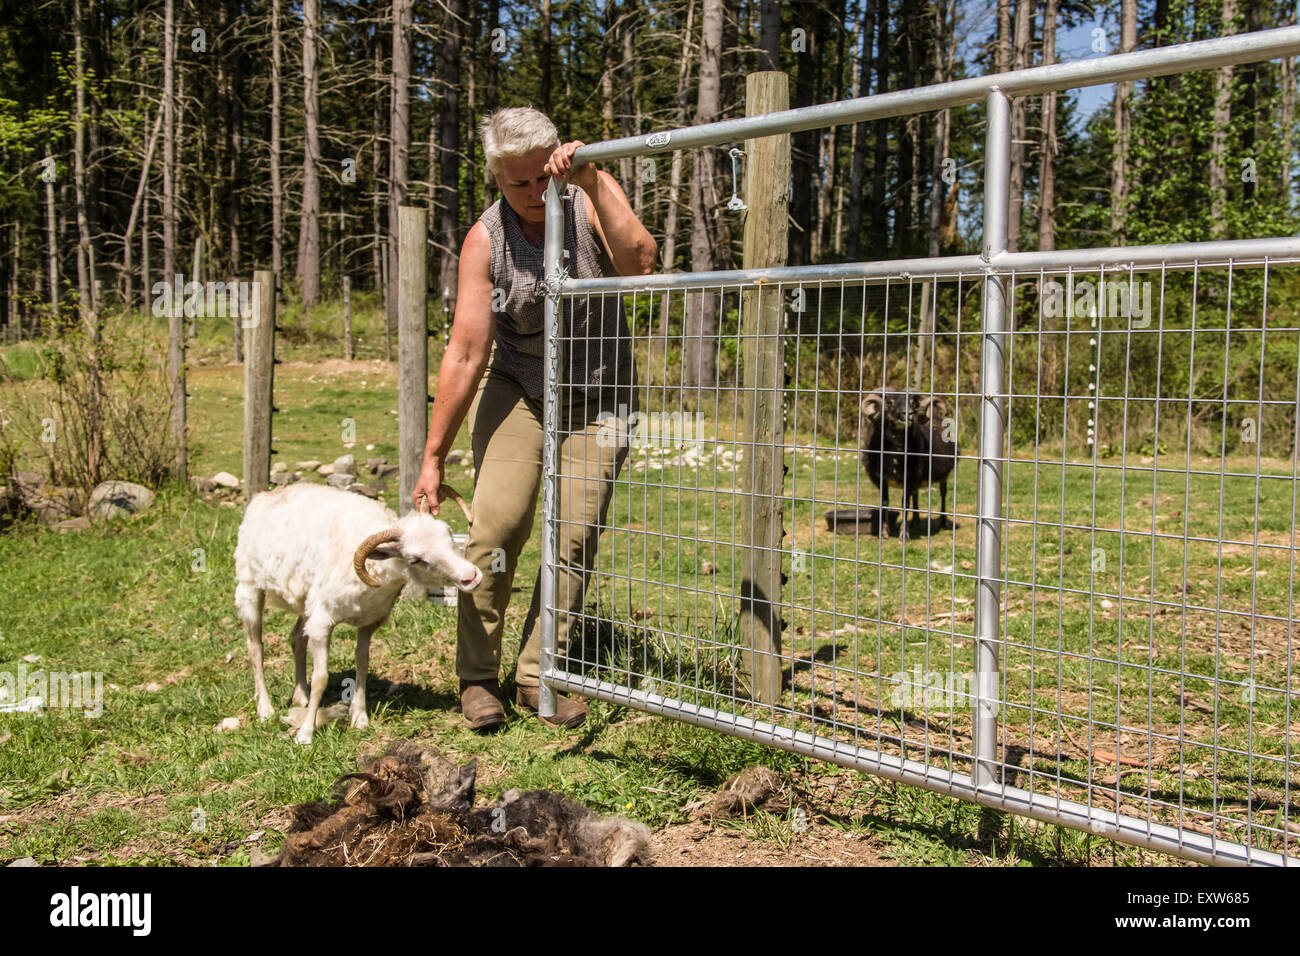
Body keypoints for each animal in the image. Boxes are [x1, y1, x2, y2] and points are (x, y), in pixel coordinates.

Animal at [235, 481, 483, 743]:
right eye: (415, 559)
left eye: (448, 533)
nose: (471, 576)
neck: (379, 572)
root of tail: (267, 493)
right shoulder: (322, 621)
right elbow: (321, 678)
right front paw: (305, 733)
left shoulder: (370, 620)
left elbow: (362, 663)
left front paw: (359, 716)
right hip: (249, 588)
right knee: (255, 647)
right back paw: (265, 707)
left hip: (307, 601)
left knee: (296, 639)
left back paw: (301, 695)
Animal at [857, 390, 961, 538]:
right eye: (889, 402)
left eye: (914, 403)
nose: (908, 413)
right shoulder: (881, 478)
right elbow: (885, 502)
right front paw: (884, 532)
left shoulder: (911, 477)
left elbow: (905, 503)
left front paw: (903, 535)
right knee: (916, 495)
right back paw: (915, 521)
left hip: (942, 476)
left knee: (943, 493)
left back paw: (942, 521)